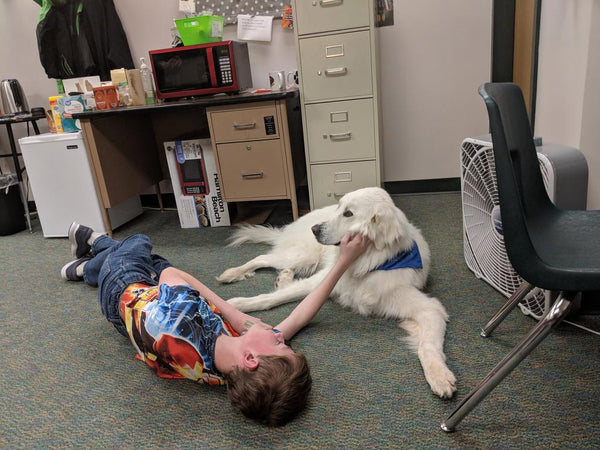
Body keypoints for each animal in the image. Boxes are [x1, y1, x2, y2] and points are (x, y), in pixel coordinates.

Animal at [218, 186, 458, 398]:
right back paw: (232, 273)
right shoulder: (324, 278)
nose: (315, 229)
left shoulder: (428, 308)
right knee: (263, 258)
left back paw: (281, 277)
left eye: (348, 213)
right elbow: (273, 298)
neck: (368, 264)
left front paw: (439, 376)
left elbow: (428, 345)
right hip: (304, 256)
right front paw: (237, 304)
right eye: (339, 207)